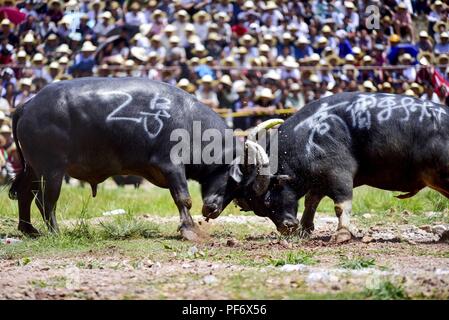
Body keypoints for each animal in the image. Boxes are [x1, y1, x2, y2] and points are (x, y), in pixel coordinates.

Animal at [8, 77, 248, 240]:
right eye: (234, 182)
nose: (213, 211)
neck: (191, 124)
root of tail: (27, 106)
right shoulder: (172, 167)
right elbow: (183, 198)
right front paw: (189, 230)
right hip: (52, 170)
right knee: (46, 200)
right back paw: (55, 232)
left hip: (33, 168)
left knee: (25, 193)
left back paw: (29, 229)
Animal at [233, 92, 448, 242]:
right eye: (260, 210)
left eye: (268, 200)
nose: (287, 227)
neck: (312, 134)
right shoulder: (320, 179)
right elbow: (311, 201)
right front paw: (305, 228)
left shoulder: (338, 174)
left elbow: (340, 205)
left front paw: (342, 234)